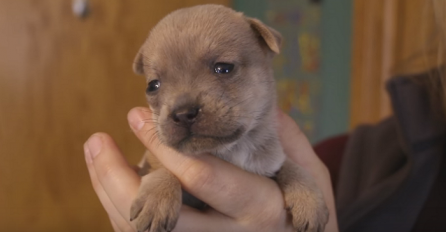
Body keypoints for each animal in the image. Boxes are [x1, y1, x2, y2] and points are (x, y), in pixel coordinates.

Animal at [129, 4, 328, 232]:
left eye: (224, 68)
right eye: (152, 86)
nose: (183, 114)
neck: (230, 151)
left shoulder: (270, 161)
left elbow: (289, 165)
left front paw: (309, 197)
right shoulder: (151, 162)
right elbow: (163, 168)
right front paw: (158, 197)